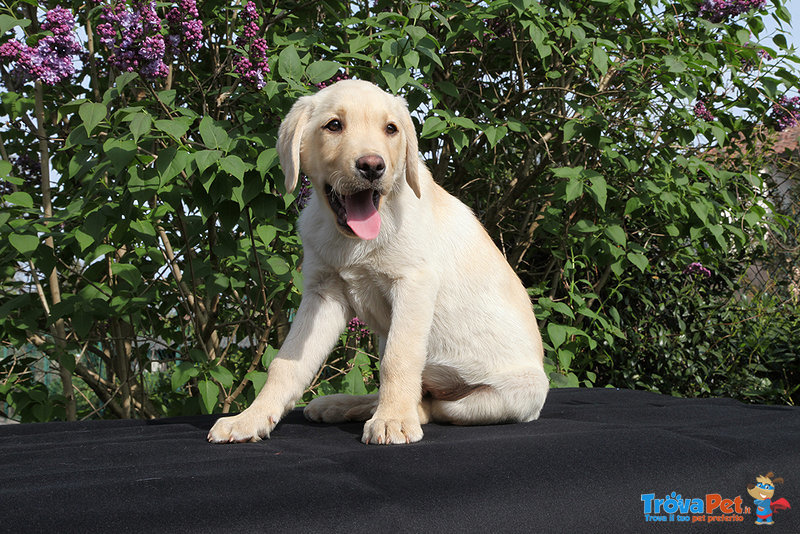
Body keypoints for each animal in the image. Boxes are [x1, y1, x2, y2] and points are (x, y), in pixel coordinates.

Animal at [205, 79, 552, 446]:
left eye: (391, 129)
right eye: (334, 125)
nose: (372, 166)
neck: (354, 240)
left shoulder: (414, 284)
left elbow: (398, 361)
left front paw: (394, 420)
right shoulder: (323, 293)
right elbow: (287, 364)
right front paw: (251, 418)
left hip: (504, 395)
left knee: (433, 407)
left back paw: (390, 412)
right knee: (417, 396)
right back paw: (347, 406)